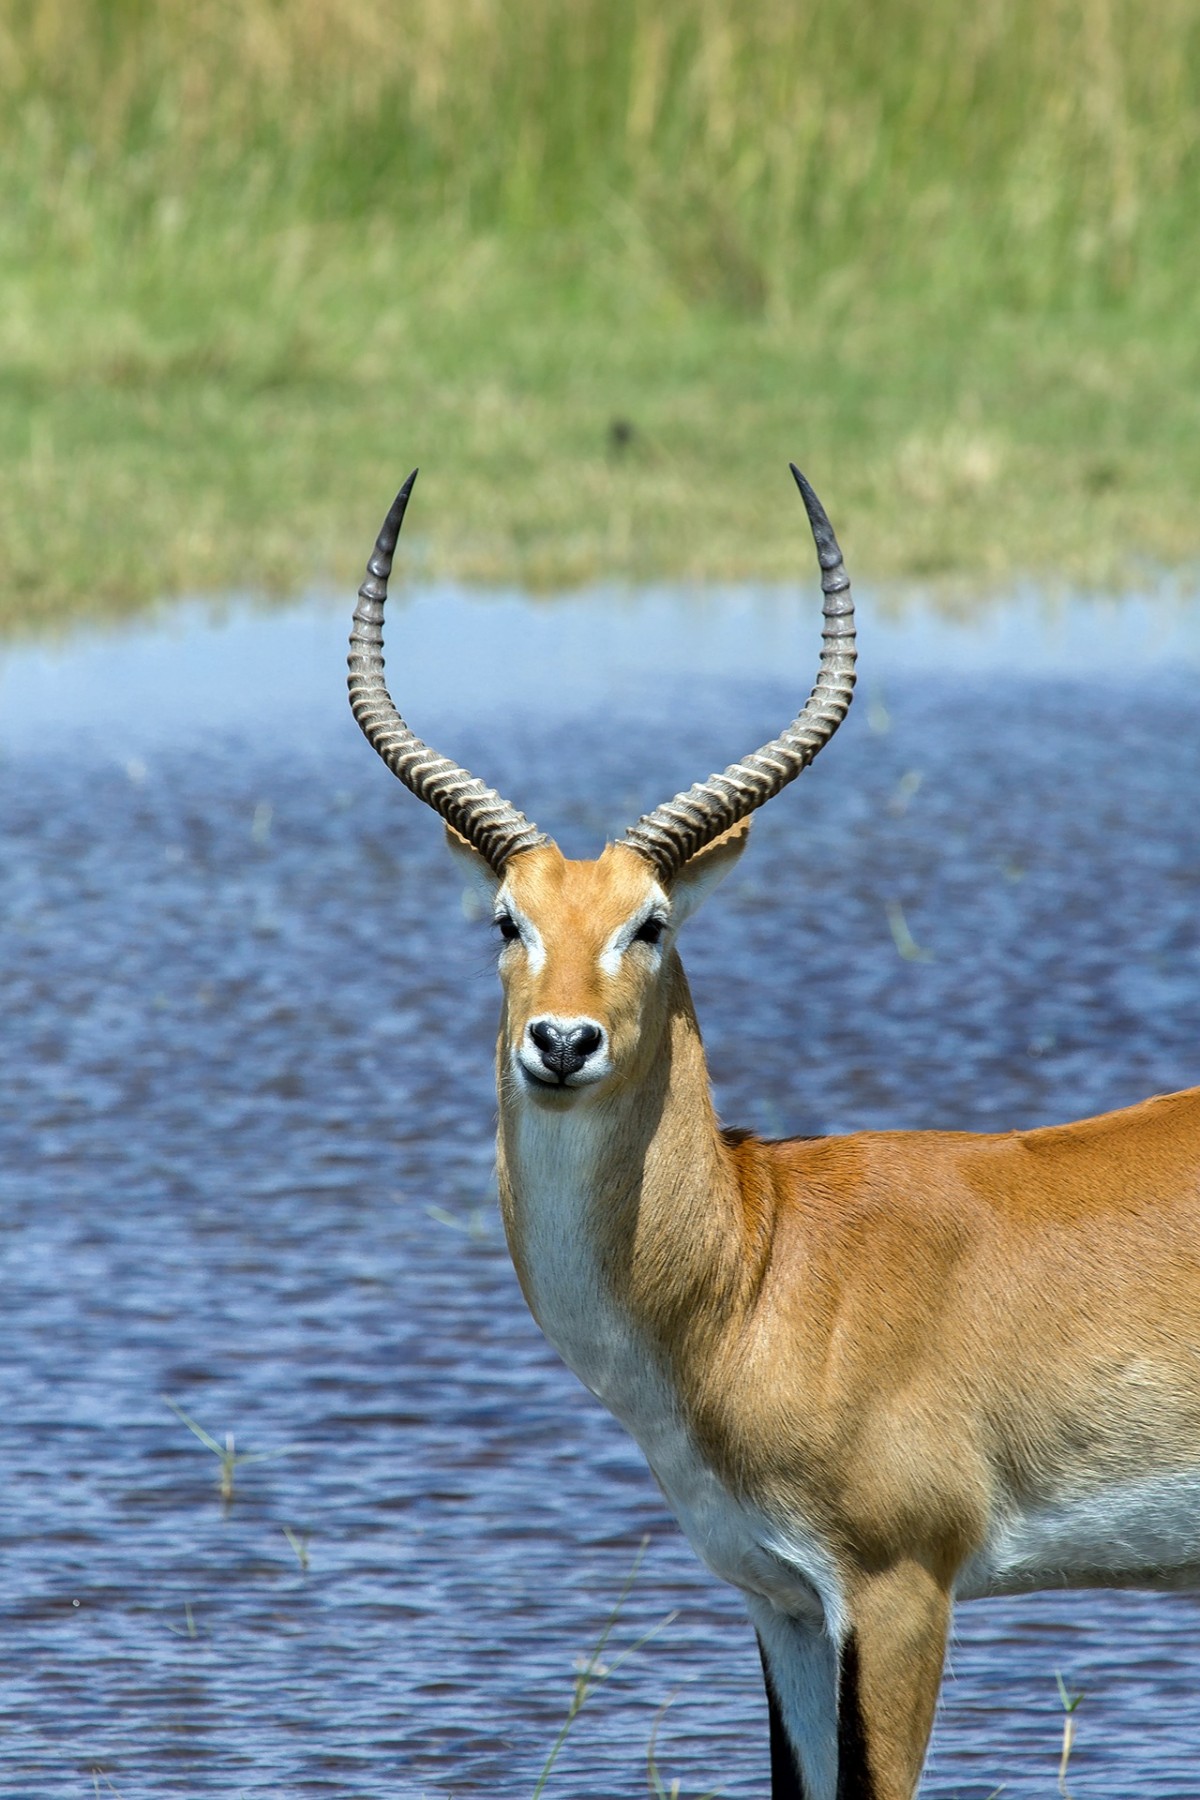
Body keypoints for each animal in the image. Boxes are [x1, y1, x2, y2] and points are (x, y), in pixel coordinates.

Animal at [341, 471, 1200, 1792]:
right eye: (506, 920)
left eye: (649, 922)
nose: (561, 1042)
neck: (759, 1265)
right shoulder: (780, 1603)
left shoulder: (898, 1593)